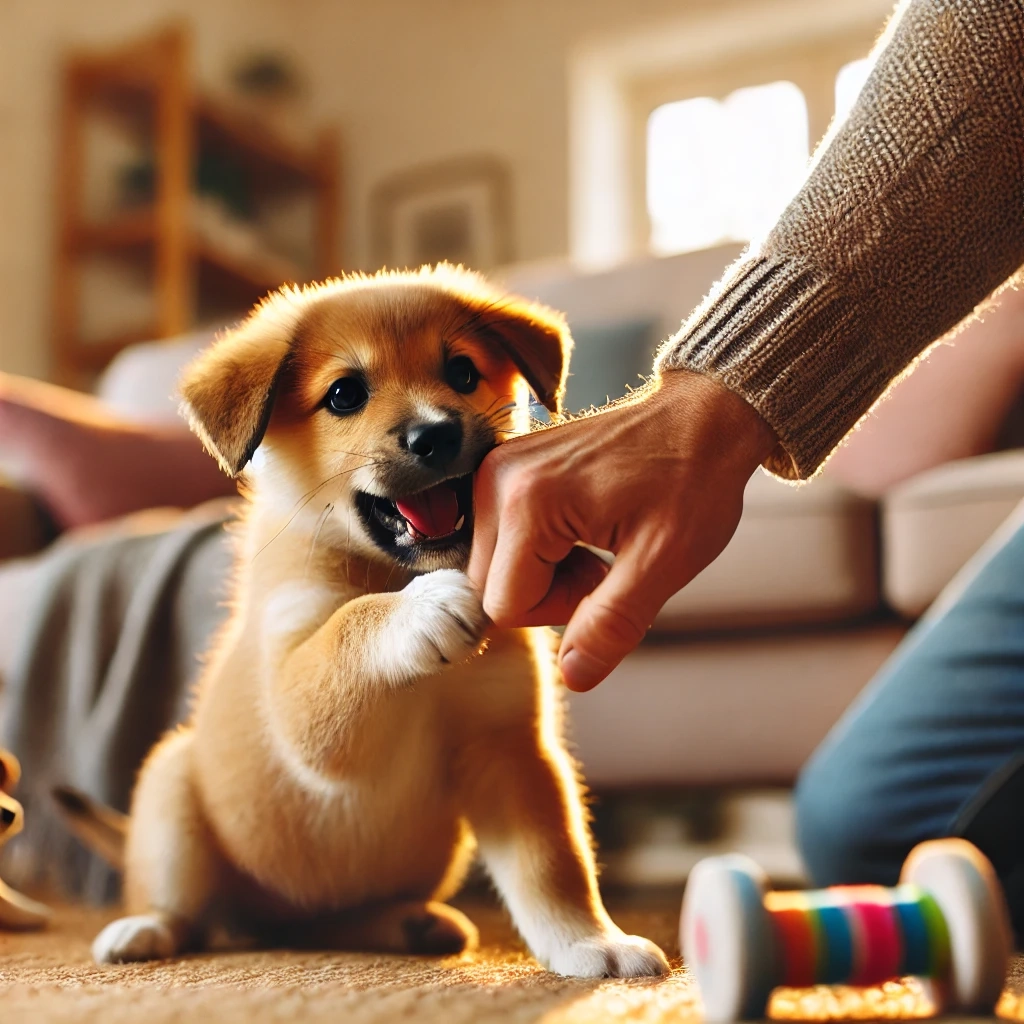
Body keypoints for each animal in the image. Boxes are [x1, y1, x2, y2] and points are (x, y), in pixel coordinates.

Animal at [90, 262, 671, 974]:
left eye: (462, 372)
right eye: (344, 394)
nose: (436, 433)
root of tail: (278, 924)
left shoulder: (510, 748)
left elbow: (551, 867)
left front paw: (591, 942)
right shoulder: (298, 702)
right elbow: (350, 627)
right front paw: (421, 611)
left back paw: (406, 923)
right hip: (171, 785)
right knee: (179, 903)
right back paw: (144, 929)